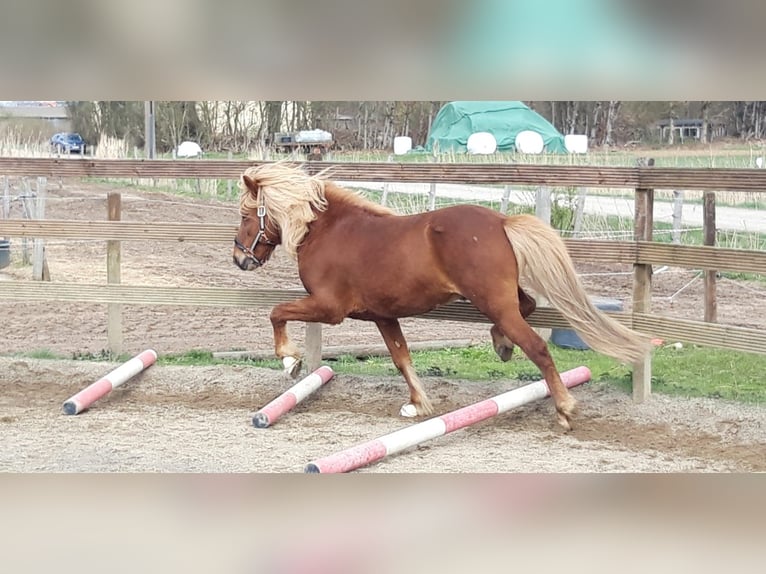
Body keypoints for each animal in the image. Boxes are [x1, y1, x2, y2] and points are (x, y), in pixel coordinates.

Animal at [231, 163, 652, 432]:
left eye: (245, 215)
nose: (239, 258)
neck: (327, 231)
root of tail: (501, 221)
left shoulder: (329, 308)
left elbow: (276, 312)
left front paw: (290, 360)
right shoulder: (382, 316)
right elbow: (401, 358)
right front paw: (418, 404)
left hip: (492, 300)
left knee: (537, 346)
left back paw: (564, 409)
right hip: (499, 297)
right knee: (527, 308)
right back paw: (502, 345)